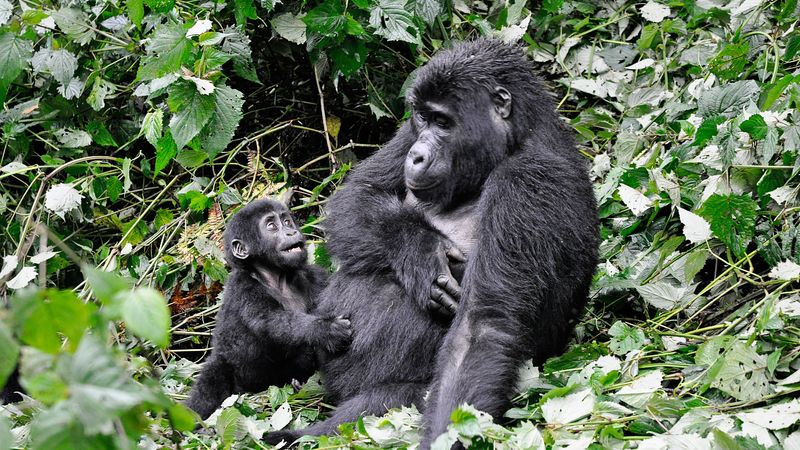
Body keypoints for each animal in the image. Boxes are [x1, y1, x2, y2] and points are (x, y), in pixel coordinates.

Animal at [188, 200, 354, 418]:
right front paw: (324, 329)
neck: (276, 276)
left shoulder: (314, 275)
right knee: (209, 385)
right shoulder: (243, 287)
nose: (292, 231)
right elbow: (269, 321)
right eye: (272, 226)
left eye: (286, 221)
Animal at [266, 39, 596, 446]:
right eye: (422, 119)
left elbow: (480, 326)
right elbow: (359, 193)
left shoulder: (529, 180)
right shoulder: (406, 134)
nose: (418, 154)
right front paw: (417, 249)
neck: (517, 136)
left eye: (443, 122)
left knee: (382, 404)